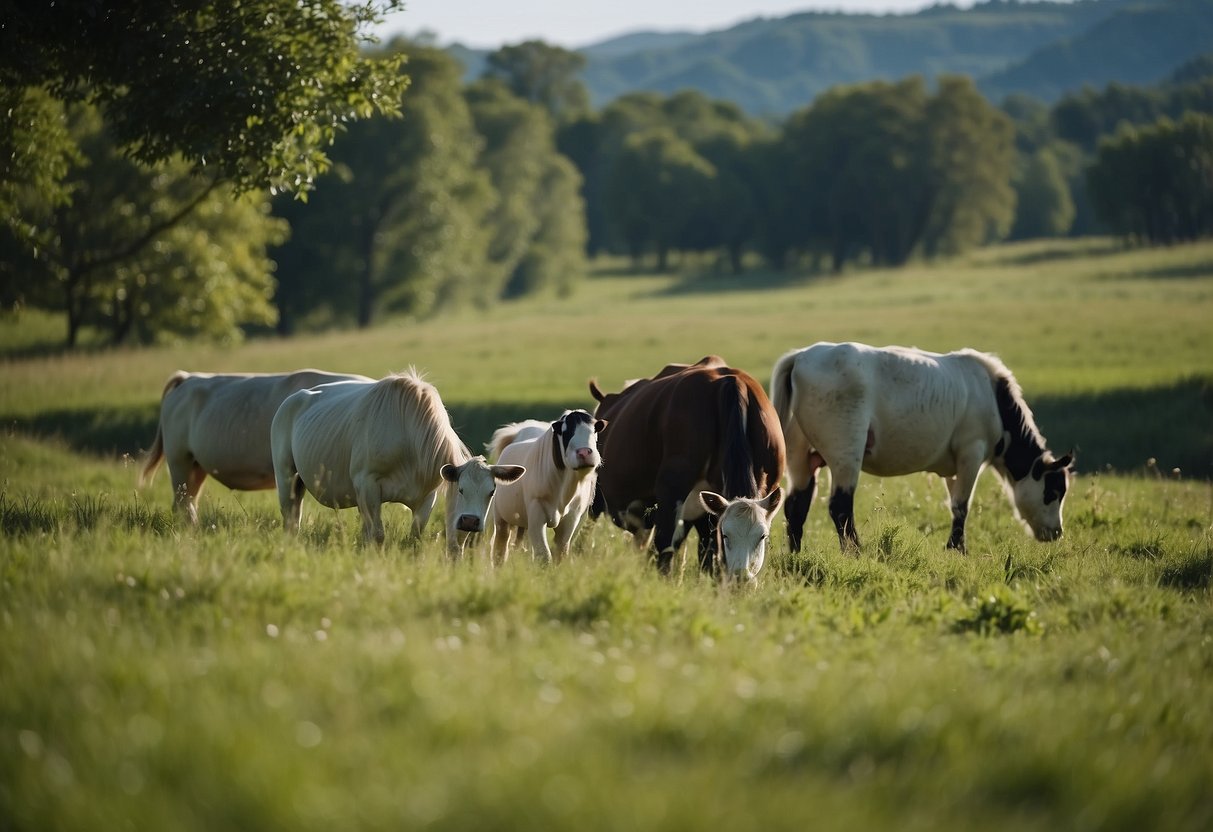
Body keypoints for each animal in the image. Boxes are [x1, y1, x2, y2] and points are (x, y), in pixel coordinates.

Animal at [272, 371, 524, 553]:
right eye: (461, 489)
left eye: (492, 492)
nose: (470, 521)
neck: (408, 443)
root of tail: (295, 398)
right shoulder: (367, 486)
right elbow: (377, 536)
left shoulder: (426, 497)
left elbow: (414, 537)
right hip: (286, 476)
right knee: (290, 518)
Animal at [487, 409, 606, 567]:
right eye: (565, 432)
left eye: (594, 430)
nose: (584, 453)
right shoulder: (536, 514)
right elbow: (544, 556)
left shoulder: (571, 518)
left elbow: (560, 554)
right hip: (502, 518)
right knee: (500, 549)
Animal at [589, 354, 786, 577]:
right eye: (726, 534)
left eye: (763, 536)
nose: (741, 577)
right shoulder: (671, 491)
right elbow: (664, 545)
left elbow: (709, 554)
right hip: (595, 498)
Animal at [771, 342, 1077, 557]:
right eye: (1053, 492)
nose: (1057, 532)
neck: (993, 397)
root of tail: (801, 357)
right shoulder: (971, 454)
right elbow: (962, 506)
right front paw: (957, 548)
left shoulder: (953, 469)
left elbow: (955, 506)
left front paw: (957, 548)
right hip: (846, 454)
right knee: (840, 507)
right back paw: (856, 551)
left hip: (801, 459)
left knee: (796, 506)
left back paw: (797, 554)